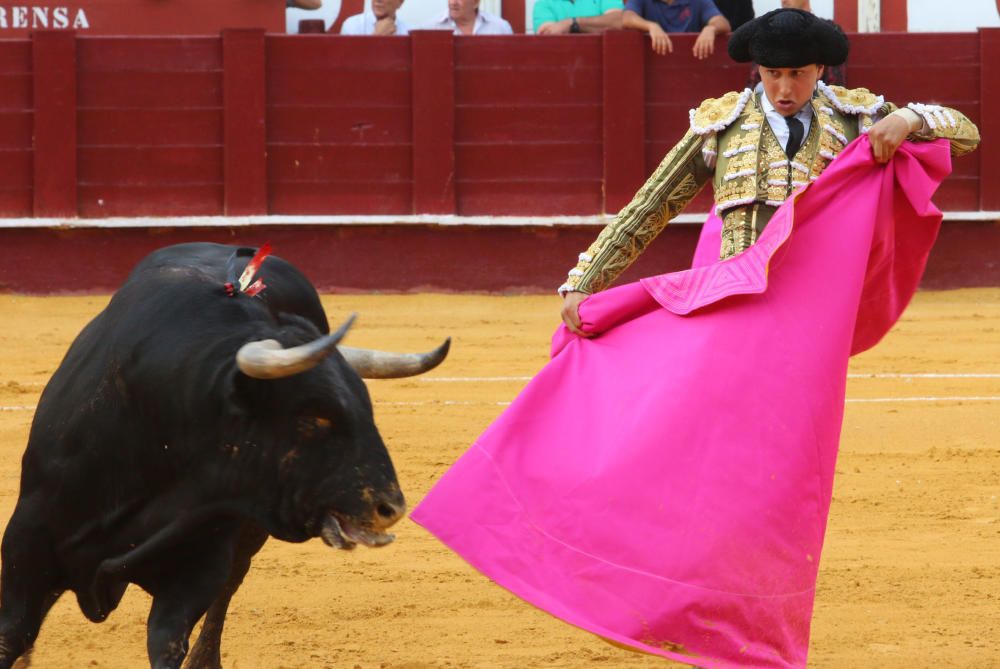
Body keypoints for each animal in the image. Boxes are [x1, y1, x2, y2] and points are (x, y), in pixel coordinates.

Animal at [0, 243, 450, 664]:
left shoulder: (198, 570)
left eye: (366, 406)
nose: (390, 506)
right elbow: (12, 637)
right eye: (313, 417)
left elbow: (169, 640)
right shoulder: (26, 548)